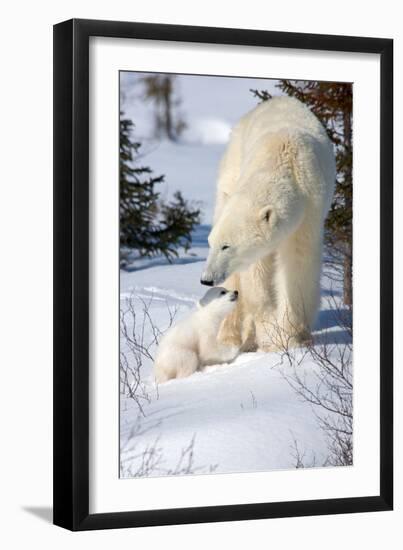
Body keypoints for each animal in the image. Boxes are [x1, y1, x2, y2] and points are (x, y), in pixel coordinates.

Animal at [200, 96, 336, 352]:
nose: (206, 279)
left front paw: (289, 337)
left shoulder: (310, 210)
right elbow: (256, 274)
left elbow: (298, 266)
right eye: (211, 243)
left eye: (226, 245)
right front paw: (270, 333)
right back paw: (230, 336)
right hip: (231, 167)